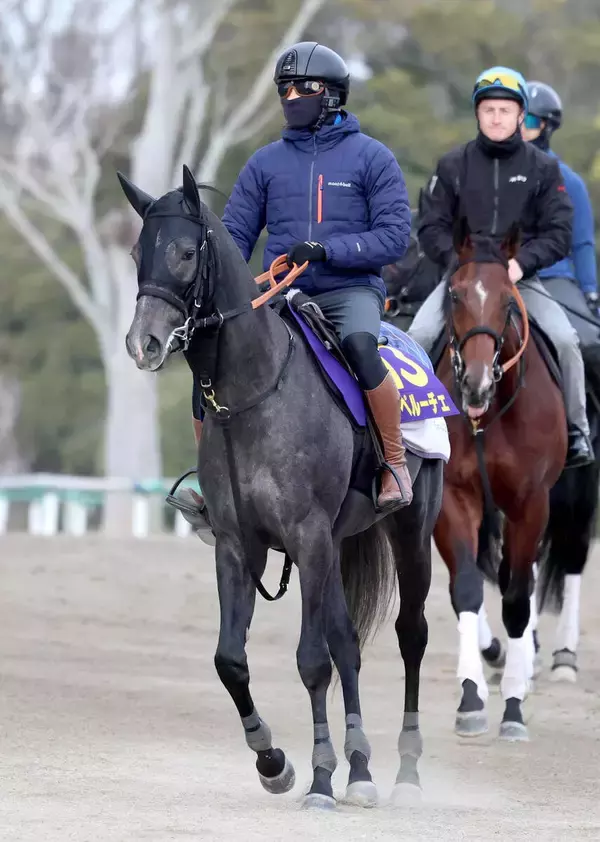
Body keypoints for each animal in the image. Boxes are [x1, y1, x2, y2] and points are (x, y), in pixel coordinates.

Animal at [117, 164, 444, 808]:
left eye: (186, 252)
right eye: (140, 252)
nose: (143, 343)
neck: (256, 394)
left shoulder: (308, 537)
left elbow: (311, 661)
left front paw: (318, 778)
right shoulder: (237, 544)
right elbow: (231, 660)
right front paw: (274, 761)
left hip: (409, 529)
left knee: (410, 635)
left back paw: (407, 773)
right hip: (339, 547)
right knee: (348, 643)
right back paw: (361, 771)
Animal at [433, 219, 567, 741]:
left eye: (509, 301)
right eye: (454, 294)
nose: (476, 384)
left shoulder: (533, 503)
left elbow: (516, 600)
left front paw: (512, 707)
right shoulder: (454, 498)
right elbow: (467, 590)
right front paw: (471, 699)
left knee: (522, 582)